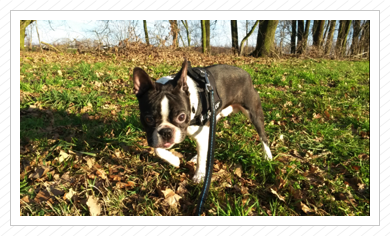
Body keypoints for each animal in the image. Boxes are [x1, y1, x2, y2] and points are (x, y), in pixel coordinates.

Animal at [133, 58, 272, 183]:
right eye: (148, 119)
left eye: (181, 117)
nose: (166, 132)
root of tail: (246, 74)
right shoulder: (156, 136)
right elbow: (157, 149)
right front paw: (174, 160)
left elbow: (201, 157)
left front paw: (199, 175)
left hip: (254, 113)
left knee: (263, 136)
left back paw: (268, 156)